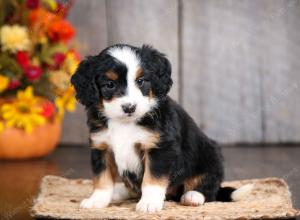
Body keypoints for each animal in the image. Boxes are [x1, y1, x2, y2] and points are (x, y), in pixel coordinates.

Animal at [69, 43, 251, 213]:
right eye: (110, 84)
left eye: (141, 81)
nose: (129, 107)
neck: (125, 123)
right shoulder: (101, 147)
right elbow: (102, 179)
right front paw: (97, 200)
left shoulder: (160, 148)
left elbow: (152, 180)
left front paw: (149, 203)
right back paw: (120, 191)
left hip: (211, 155)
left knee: (209, 187)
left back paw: (193, 196)